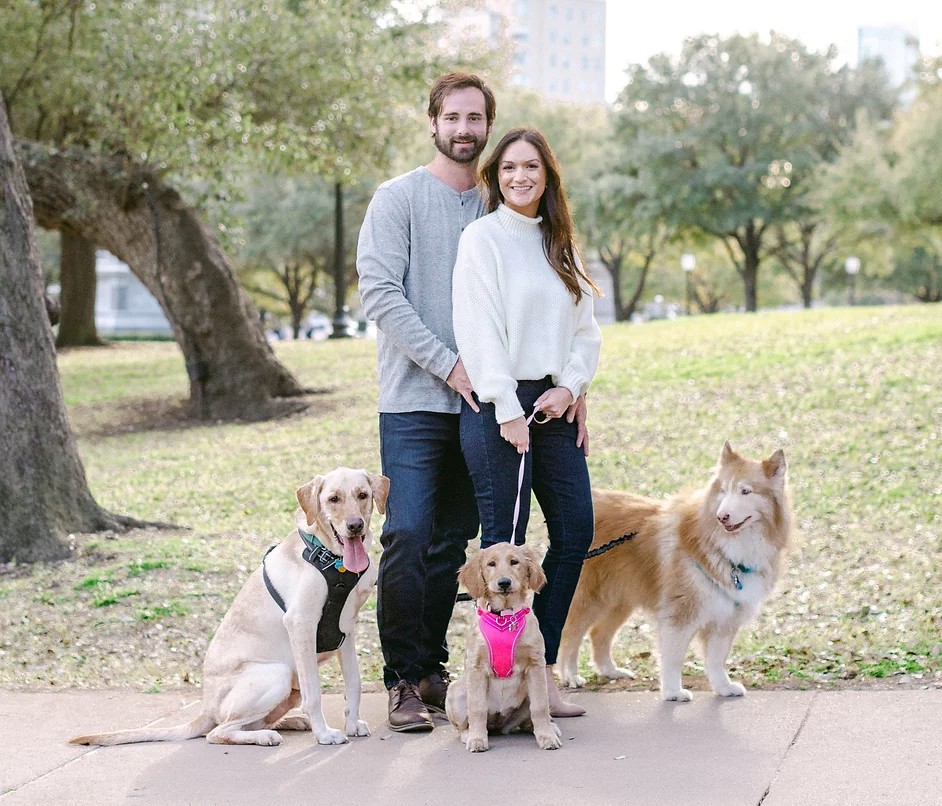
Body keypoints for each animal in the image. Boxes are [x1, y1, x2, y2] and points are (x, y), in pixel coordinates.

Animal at [70, 467, 389, 747]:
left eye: (362, 495)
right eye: (333, 499)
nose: (355, 526)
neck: (333, 562)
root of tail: (206, 708)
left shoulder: (346, 631)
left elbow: (354, 683)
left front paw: (351, 724)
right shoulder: (301, 626)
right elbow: (316, 693)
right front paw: (324, 735)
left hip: (287, 686)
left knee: (249, 722)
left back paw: (290, 722)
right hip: (277, 675)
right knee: (218, 732)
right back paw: (267, 735)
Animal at [445, 542, 562, 752]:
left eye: (514, 562)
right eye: (491, 564)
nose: (504, 583)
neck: (504, 617)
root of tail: (499, 725)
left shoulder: (535, 665)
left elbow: (539, 707)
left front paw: (547, 737)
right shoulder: (476, 667)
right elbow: (477, 708)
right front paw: (477, 739)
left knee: (531, 719)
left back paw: (549, 727)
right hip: (455, 692)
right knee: (464, 724)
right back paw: (469, 734)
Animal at [558, 442, 792, 702]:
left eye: (745, 491)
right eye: (723, 490)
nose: (722, 516)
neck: (729, 545)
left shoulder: (725, 617)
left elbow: (717, 659)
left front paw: (723, 687)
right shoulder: (680, 614)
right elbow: (673, 657)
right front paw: (672, 691)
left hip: (619, 600)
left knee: (599, 634)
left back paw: (610, 671)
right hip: (589, 598)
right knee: (569, 635)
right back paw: (570, 675)